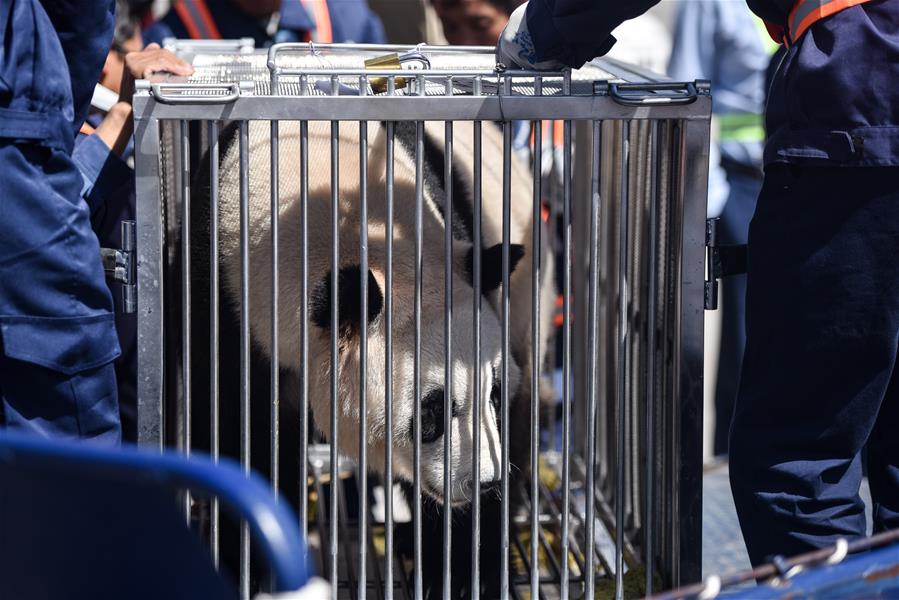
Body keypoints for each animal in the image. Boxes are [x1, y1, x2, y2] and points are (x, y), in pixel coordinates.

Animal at [192, 116, 556, 596]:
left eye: (493, 393)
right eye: (433, 409)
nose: (482, 481)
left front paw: (462, 572)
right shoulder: (227, 298)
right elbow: (242, 436)